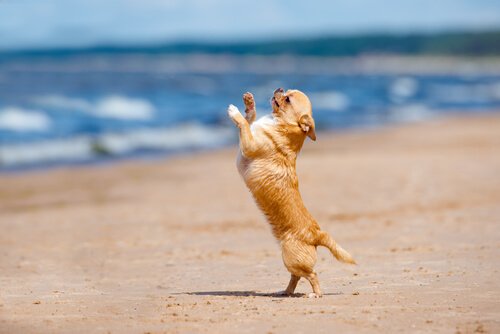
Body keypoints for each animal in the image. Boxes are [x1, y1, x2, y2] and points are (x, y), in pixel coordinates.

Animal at [227, 88, 356, 298]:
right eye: (286, 91)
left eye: (287, 99)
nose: (278, 89)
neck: (280, 124)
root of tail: (316, 234)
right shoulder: (251, 136)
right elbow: (250, 119)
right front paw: (249, 103)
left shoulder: (249, 145)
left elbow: (244, 124)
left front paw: (235, 112)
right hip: (291, 261)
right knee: (296, 276)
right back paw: (286, 291)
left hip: (290, 257)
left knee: (312, 274)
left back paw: (315, 294)